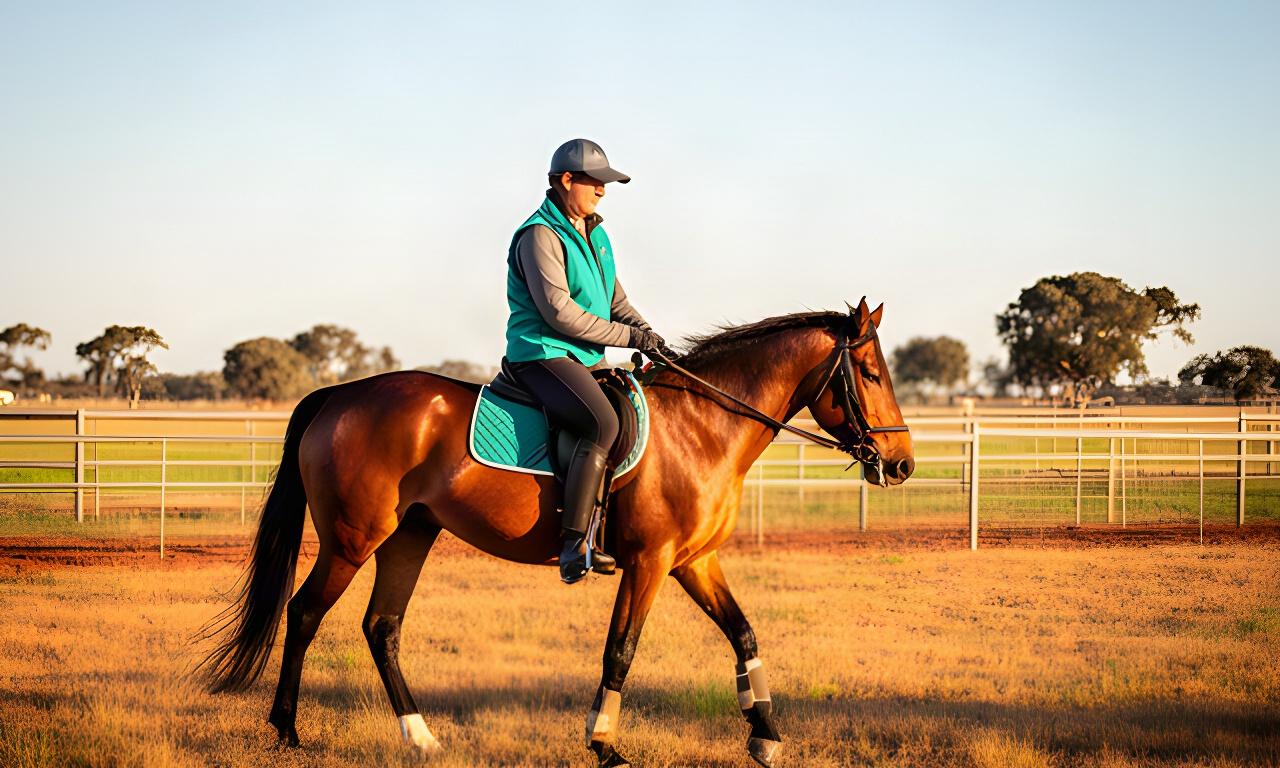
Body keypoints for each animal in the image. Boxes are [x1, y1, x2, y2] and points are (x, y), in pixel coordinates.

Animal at [198, 300, 914, 767]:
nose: (902, 464)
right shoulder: (649, 563)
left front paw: (764, 735)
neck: (700, 425)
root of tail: (339, 395)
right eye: (871, 374)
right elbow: (620, 652)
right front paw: (604, 744)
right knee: (304, 612)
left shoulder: (694, 561)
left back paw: (419, 736)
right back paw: (287, 731)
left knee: (382, 627)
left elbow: (743, 633)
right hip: (353, 540)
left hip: (409, 535)